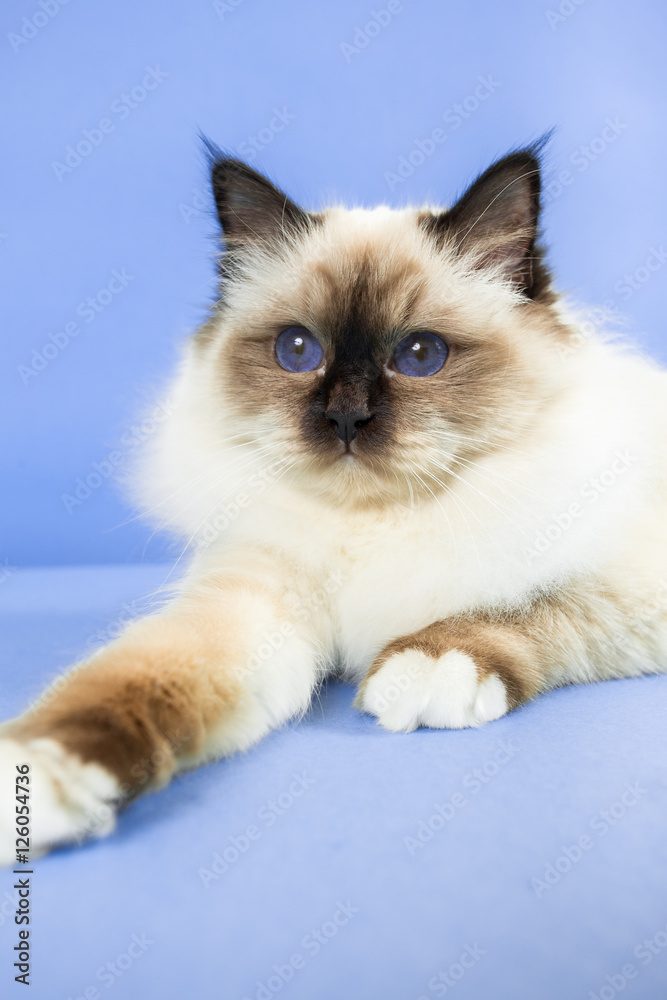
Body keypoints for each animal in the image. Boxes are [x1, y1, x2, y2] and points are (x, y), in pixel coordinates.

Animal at [1, 137, 667, 864]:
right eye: (298, 350)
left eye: (420, 355)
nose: (346, 418)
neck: (370, 527)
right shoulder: (252, 608)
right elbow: (121, 689)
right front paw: (35, 780)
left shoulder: (625, 585)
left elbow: (519, 607)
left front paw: (424, 670)